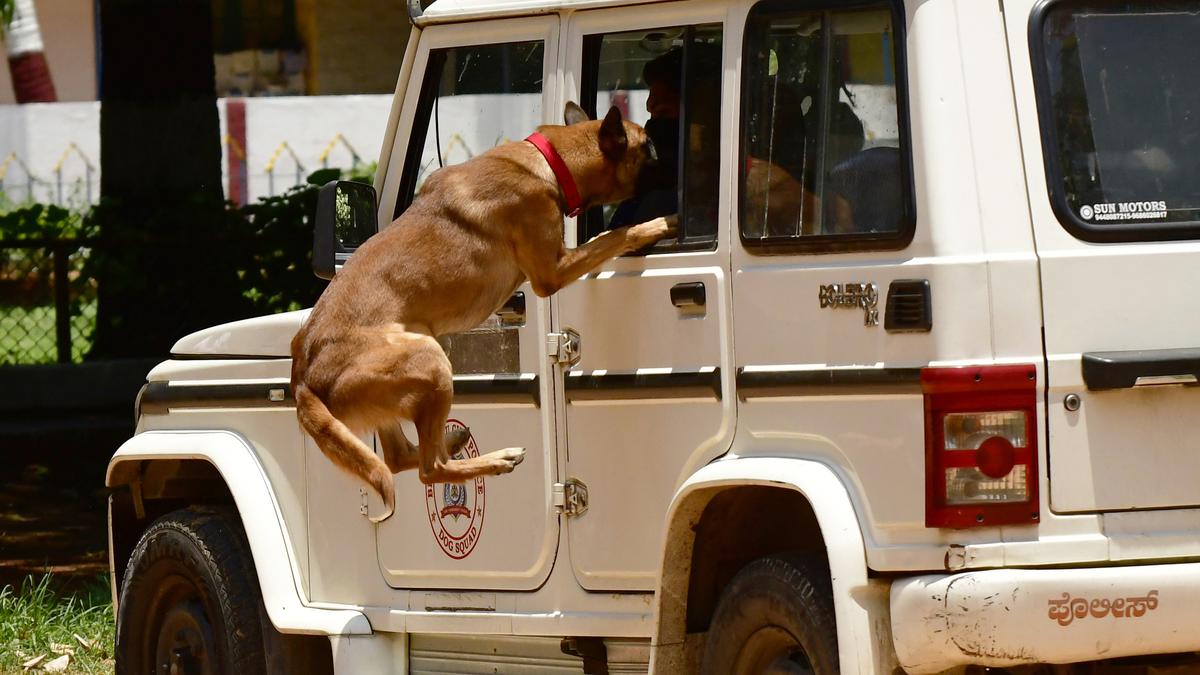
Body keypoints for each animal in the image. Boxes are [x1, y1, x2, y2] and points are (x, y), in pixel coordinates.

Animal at [288, 100, 676, 521]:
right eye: (651, 145)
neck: (550, 160)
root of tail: (302, 376)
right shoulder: (554, 270)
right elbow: (613, 235)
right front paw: (659, 224)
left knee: (399, 457)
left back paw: (455, 438)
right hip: (429, 358)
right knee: (429, 468)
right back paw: (496, 458)